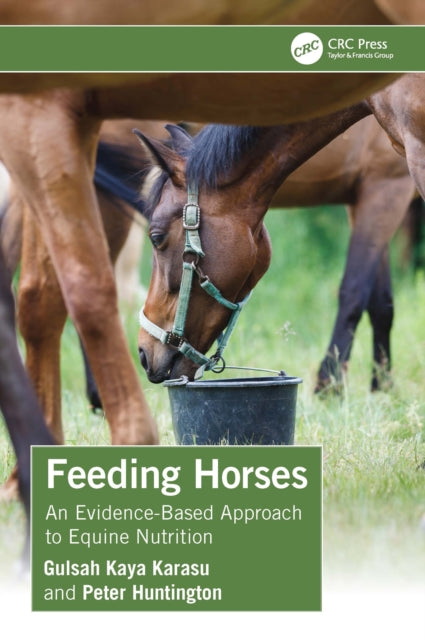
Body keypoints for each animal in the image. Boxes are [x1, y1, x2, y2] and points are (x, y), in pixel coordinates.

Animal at [135, 74, 425, 385]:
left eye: (157, 238)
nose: (143, 352)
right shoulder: (375, 192)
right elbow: (376, 301)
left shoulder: (387, 185)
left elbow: (360, 294)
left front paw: (334, 385)